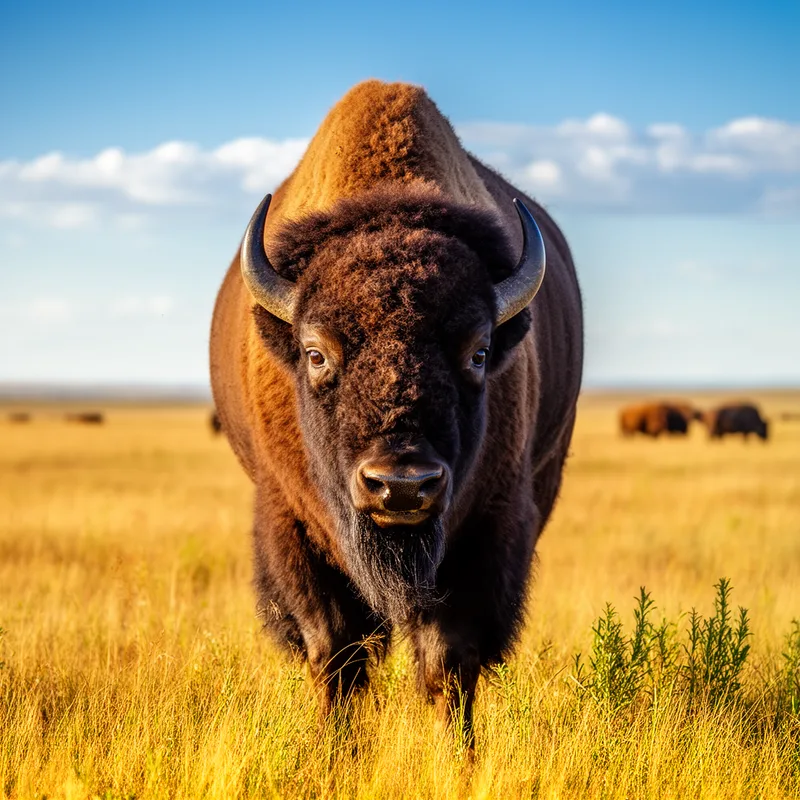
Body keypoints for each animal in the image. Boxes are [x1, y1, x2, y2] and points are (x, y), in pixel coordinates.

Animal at [209, 81, 583, 740]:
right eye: (316, 353)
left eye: (479, 352)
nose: (402, 486)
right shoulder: (293, 529)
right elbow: (336, 657)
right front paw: (335, 750)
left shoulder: (485, 533)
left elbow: (448, 663)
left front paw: (457, 753)